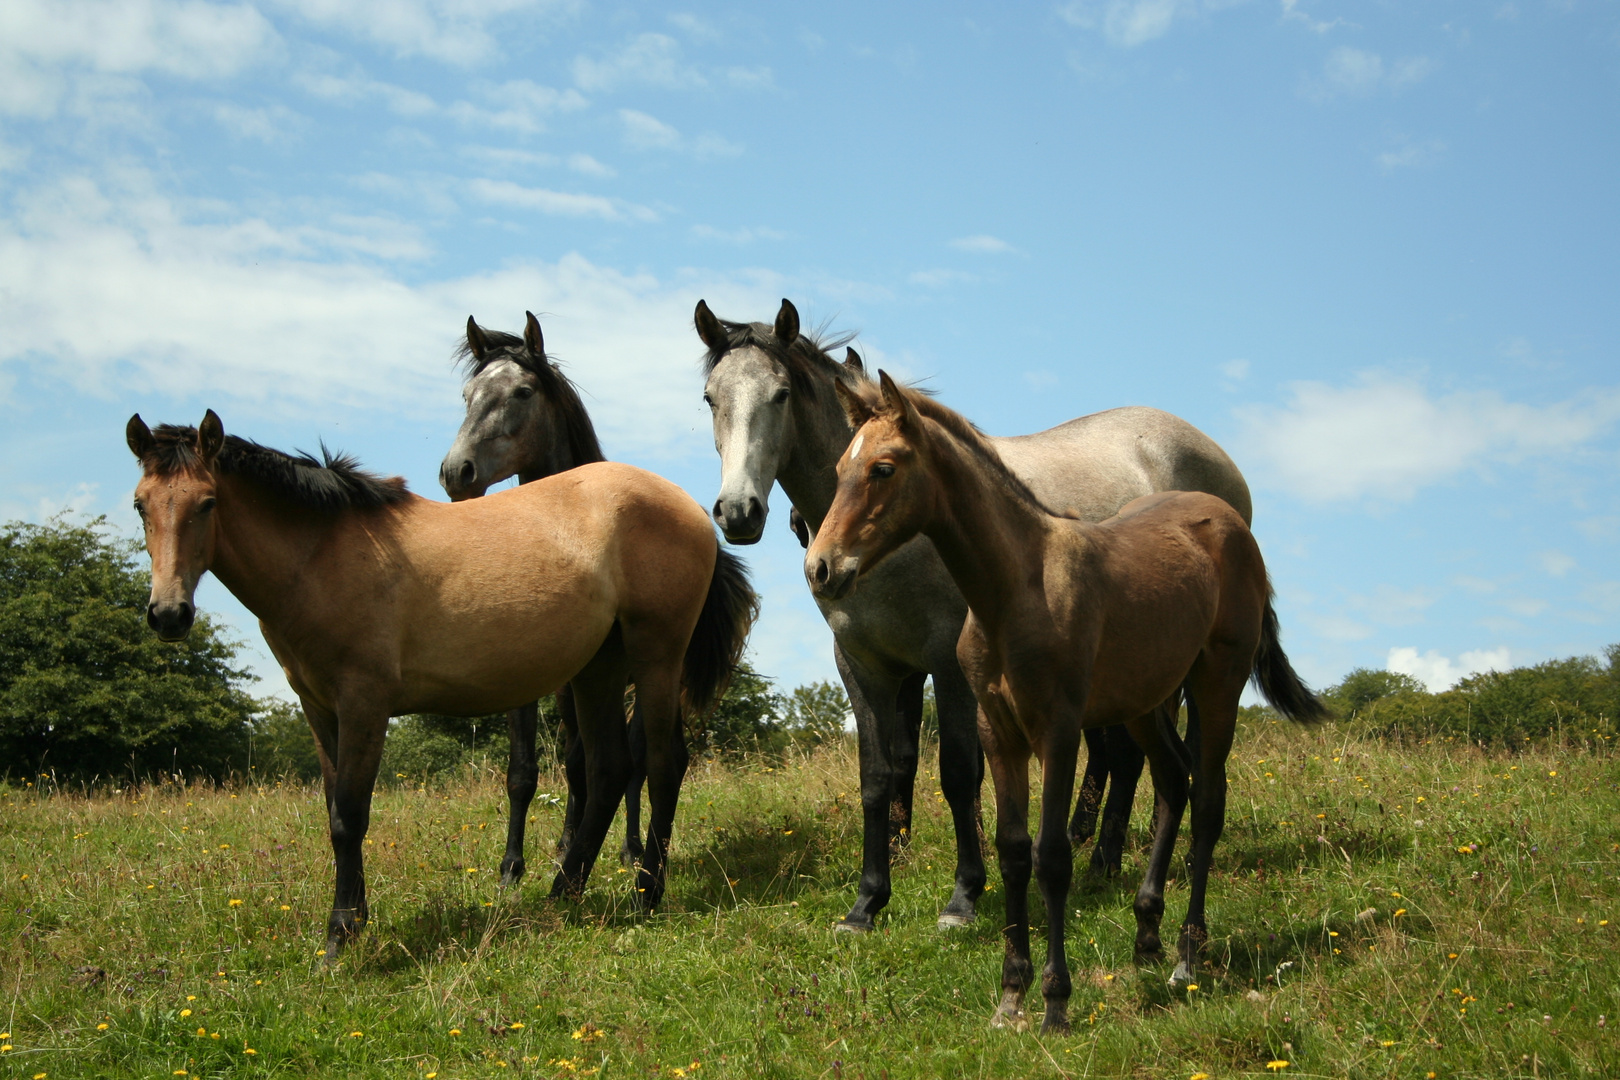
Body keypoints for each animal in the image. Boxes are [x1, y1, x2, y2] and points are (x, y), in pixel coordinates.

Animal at [127, 409, 758, 958]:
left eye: (208, 502)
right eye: (140, 505)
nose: (168, 615)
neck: (322, 556)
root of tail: (692, 509)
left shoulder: (364, 703)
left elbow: (349, 816)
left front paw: (339, 937)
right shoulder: (318, 707)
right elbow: (334, 811)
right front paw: (354, 920)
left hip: (656, 657)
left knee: (662, 763)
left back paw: (646, 893)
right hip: (598, 669)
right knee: (608, 770)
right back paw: (562, 894)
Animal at [693, 296, 1250, 932]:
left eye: (781, 394)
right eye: (711, 397)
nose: (739, 512)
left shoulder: (948, 663)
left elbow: (959, 773)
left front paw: (964, 896)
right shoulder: (863, 666)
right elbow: (877, 778)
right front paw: (867, 902)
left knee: (1140, 759)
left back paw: (1103, 863)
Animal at [803, 374, 1321, 1036]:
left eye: (884, 468)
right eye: (840, 467)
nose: (820, 568)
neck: (1017, 587)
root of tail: (1230, 520)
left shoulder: (1058, 729)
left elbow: (1052, 857)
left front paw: (1054, 1001)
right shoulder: (998, 731)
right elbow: (1013, 852)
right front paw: (1010, 995)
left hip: (1216, 683)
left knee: (1207, 799)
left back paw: (1187, 953)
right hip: (1144, 702)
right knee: (1172, 782)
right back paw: (1146, 935)